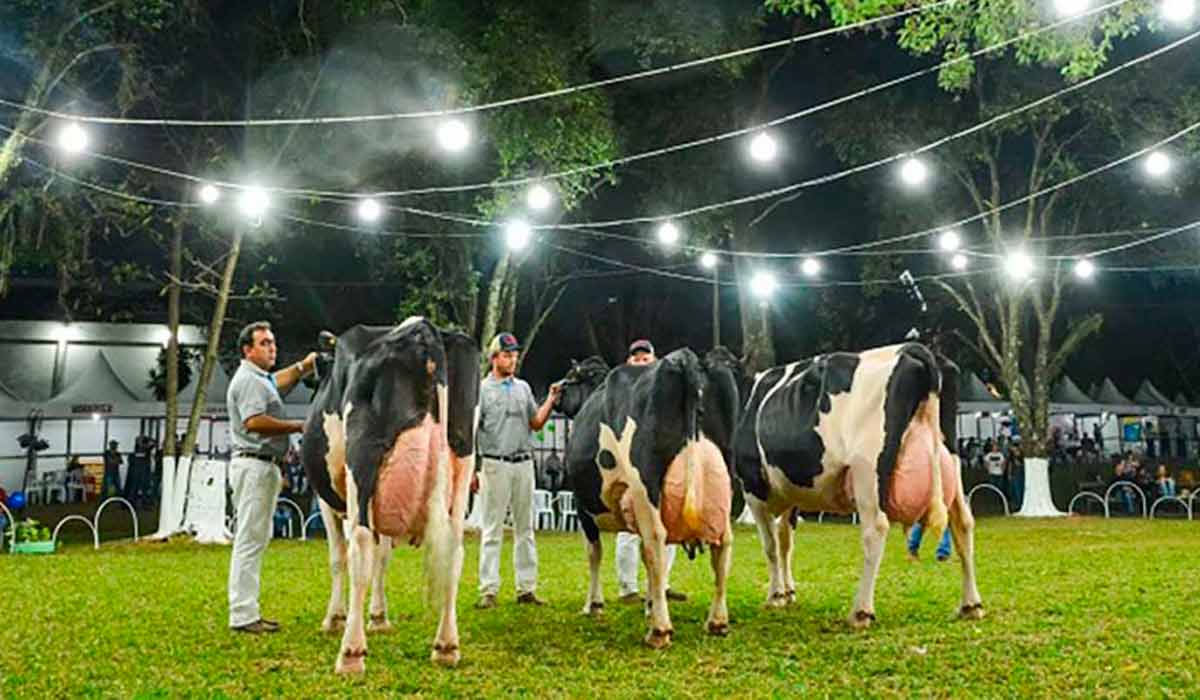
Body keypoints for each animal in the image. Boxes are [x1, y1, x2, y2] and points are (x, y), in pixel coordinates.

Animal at [300, 319, 477, 672]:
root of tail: (423, 327)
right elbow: (384, 558)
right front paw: (379, 617)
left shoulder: (326, 502)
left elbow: (338, 557)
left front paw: (334, 618)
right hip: (463, 460)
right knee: (454, 550)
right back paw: (446, 646)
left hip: (363, 458)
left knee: (360, 546)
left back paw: (351, 653)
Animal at [554, 348, 739, 648]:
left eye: (570, 376)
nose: (555, 392)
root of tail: (687, 358)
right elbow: (642, 557)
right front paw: (650, 604)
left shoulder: (584, 508)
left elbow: (595, 553)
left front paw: (593, 605)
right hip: (726, 483)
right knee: (722, 545)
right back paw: (717, 622)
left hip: (645, 488)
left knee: (656, 542)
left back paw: (659, 631)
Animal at [734, 345, 979, 629]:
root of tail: (913, 350)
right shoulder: (791, 493)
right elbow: (786, 542)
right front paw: (789, 593)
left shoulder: (752, 488)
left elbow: (771, 546)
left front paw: (775, 596)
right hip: (952, 465)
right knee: (963, 524)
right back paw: (971, 605)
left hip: (867, 470)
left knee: (875, 530)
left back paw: (861, 612)